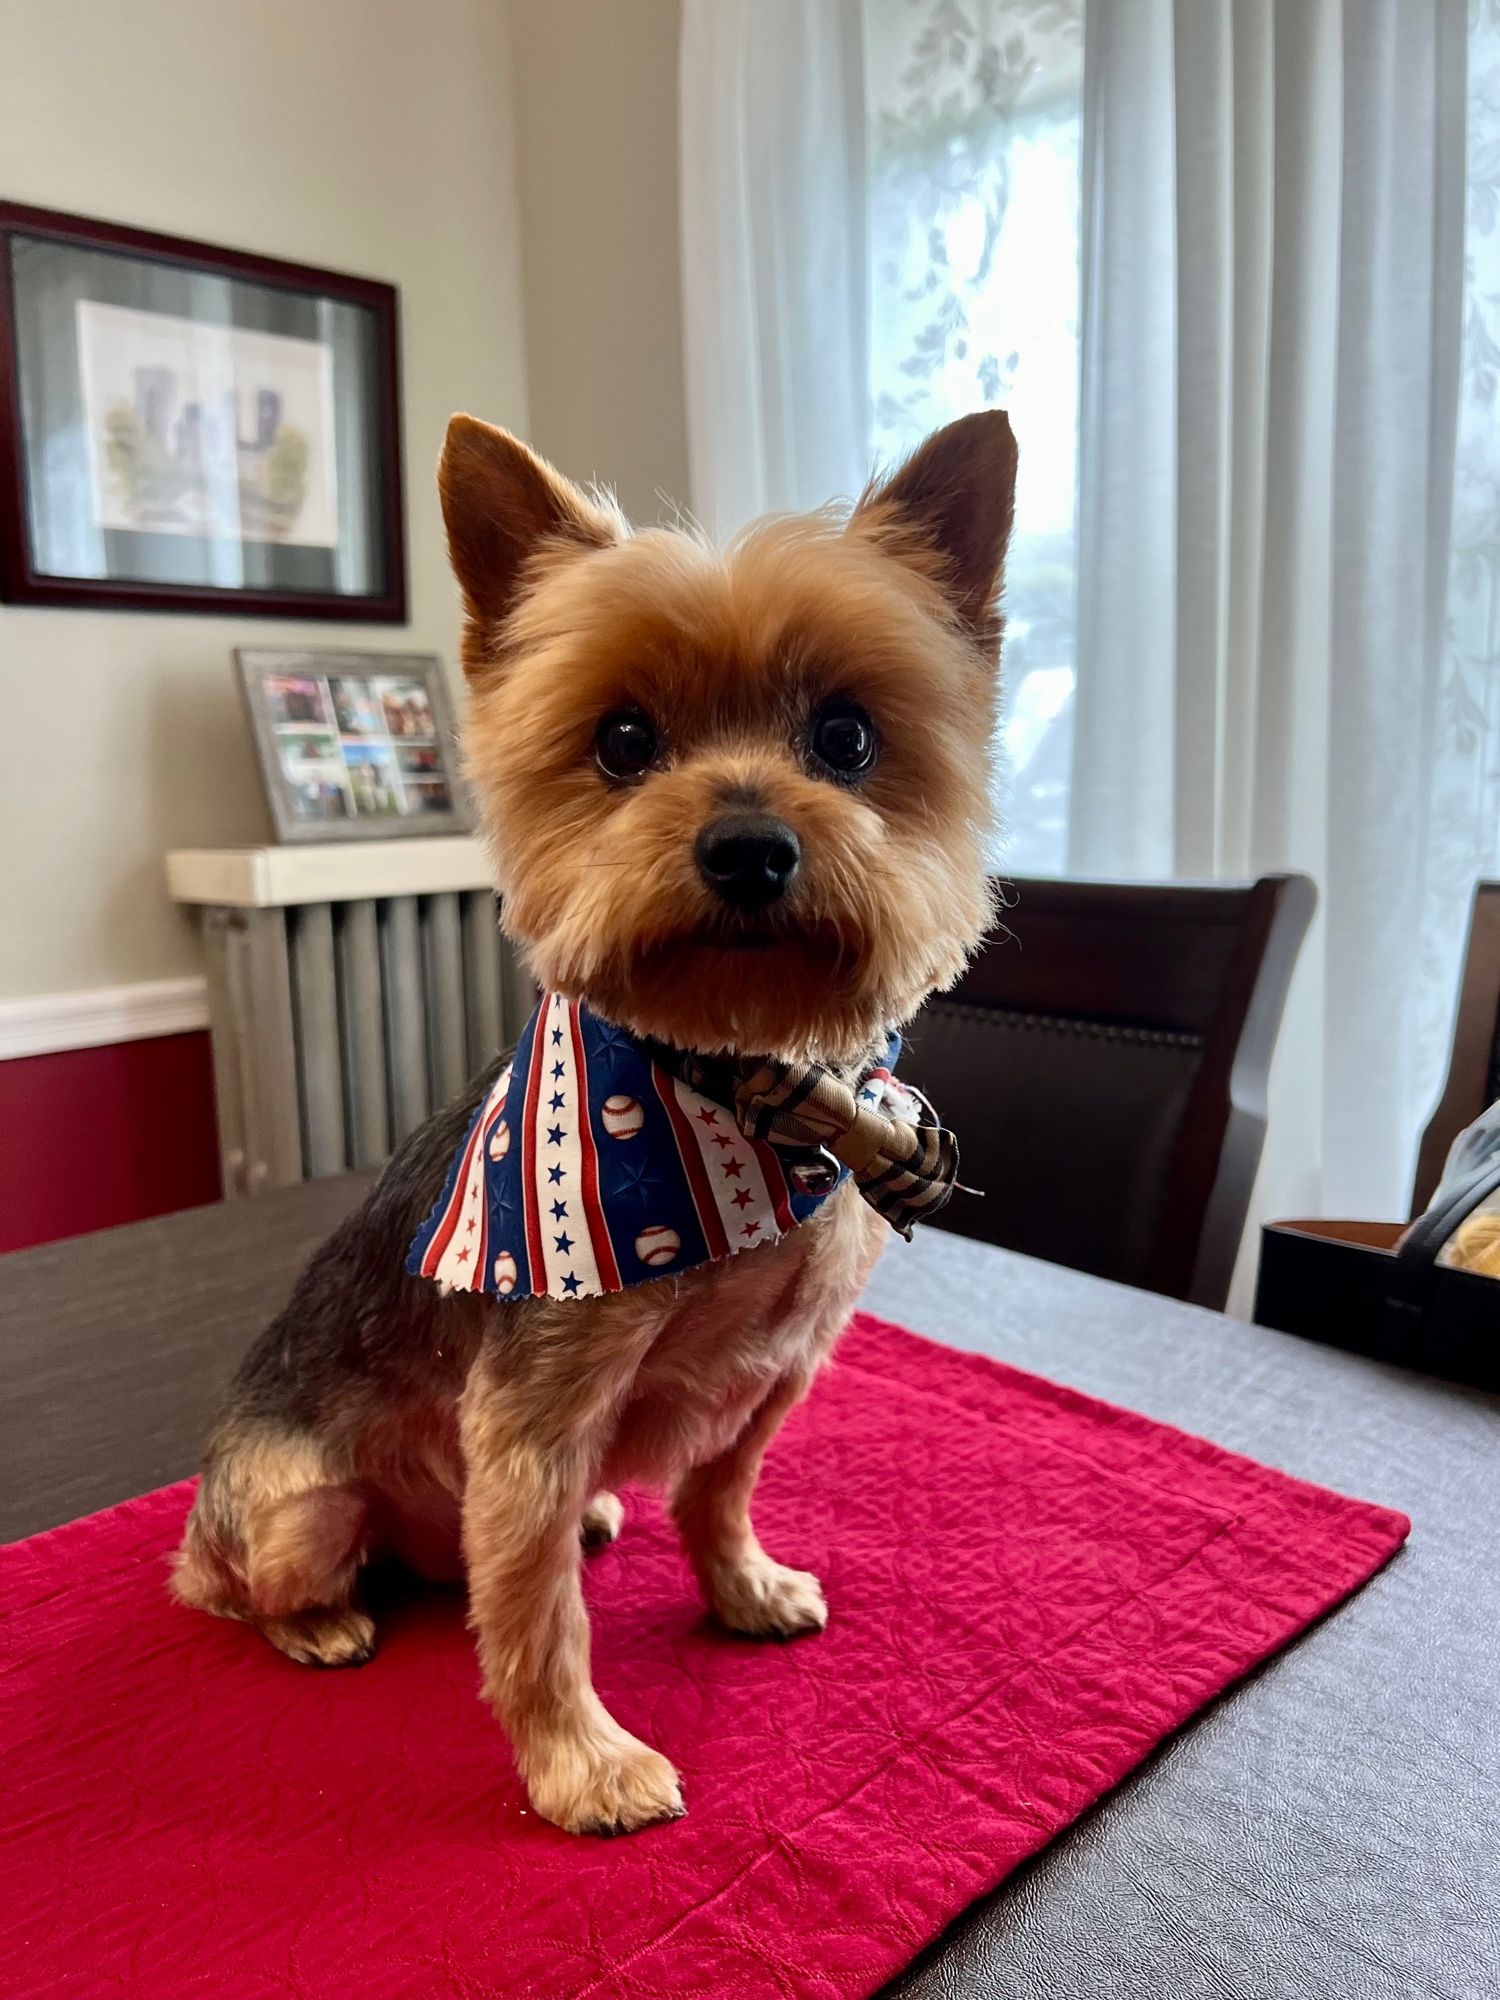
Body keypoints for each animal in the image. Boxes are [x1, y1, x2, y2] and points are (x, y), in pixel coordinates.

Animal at [176, 414, 1024, 1832]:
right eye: (623, 738)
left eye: (847, 737)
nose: (748, 845)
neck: (742, 1097)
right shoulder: (534, 1415)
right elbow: (533, 1623)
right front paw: (582, 1763)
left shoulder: (781, 1367)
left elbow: (717, 1488)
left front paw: (741, 1587)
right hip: (292, 1505)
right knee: (251, 1582)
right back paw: (319, 1621)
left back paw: (592, 1525)